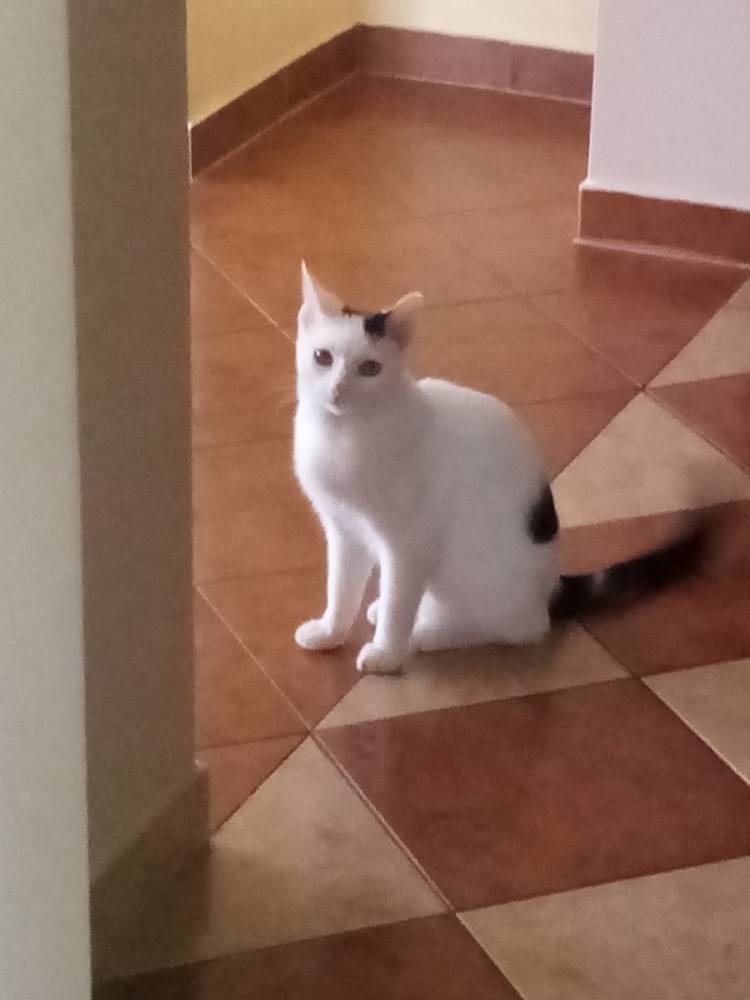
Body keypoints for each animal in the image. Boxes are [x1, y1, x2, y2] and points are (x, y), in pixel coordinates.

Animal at [293, 263, 707, 675]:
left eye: (369, 368)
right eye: (322, 357)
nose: (338, 391)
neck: (343, 435)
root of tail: (550, 587)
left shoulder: (408, 543)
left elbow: (399, 603)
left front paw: (387, 654)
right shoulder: (344, 529)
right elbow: (340, 587)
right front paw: (330, 631)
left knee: (518, 628)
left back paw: (426, 634)